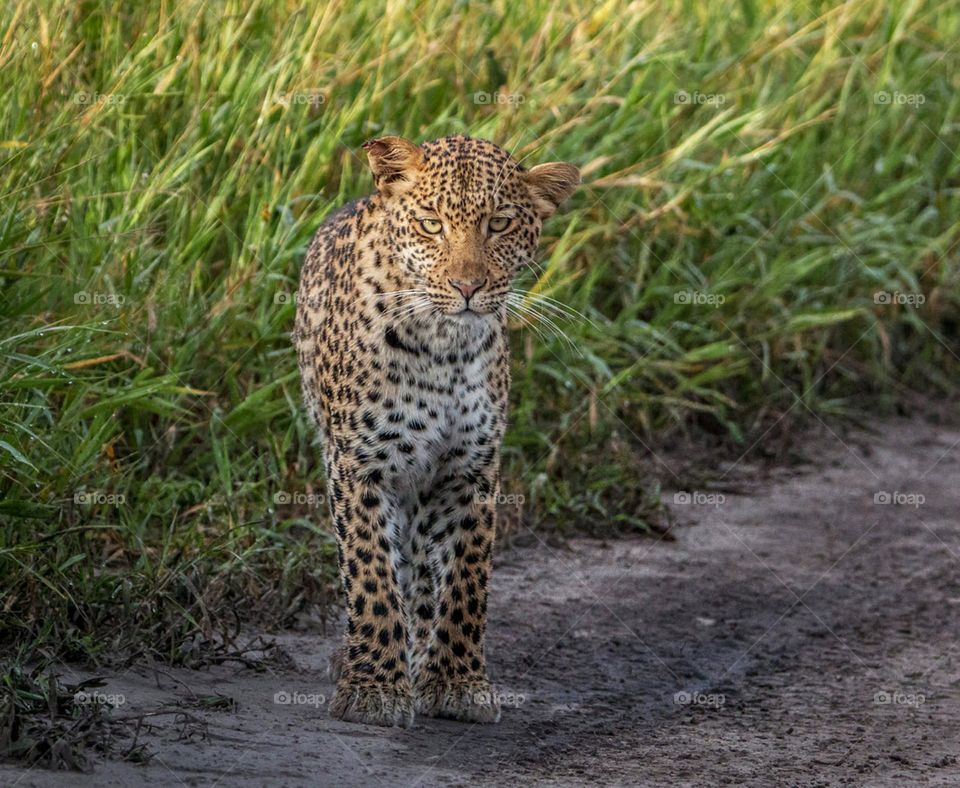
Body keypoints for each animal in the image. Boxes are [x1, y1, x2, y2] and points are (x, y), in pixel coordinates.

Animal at [292, 134, 576, 728]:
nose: (467, 286)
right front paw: (374, 688)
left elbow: (466, 578)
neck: (444, 346)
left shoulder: (471, 469)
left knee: (423, 574)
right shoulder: (361, 465)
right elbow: (371, 574)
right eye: (430, 224)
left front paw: (457, 682)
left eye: (499, 224)